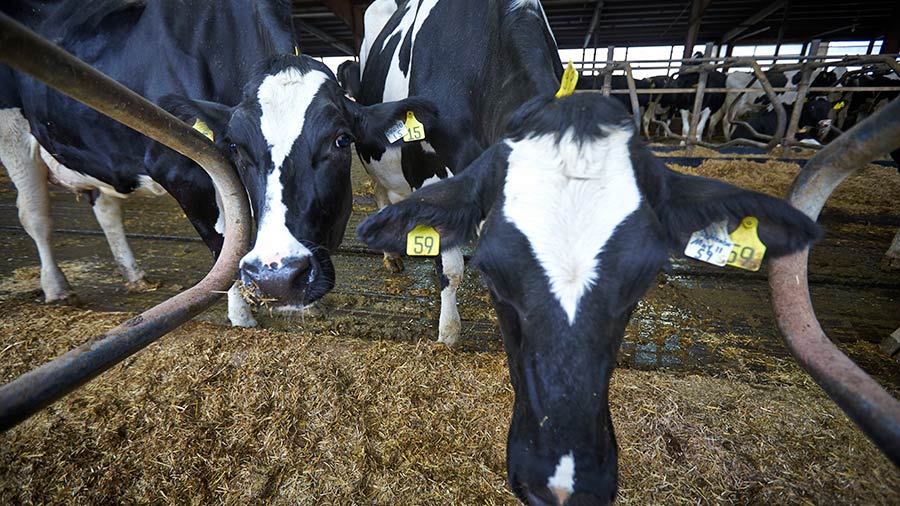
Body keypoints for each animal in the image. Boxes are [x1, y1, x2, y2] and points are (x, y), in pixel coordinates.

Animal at [1, 0, 434, 326]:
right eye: (236, 147)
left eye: (341, 140)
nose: (277, 278)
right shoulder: (182, 172)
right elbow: (226, 241)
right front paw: (242, 316)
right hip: (13, 133)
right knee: (34, 213)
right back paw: (58, 289)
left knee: (105, 207)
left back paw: (134, 275)